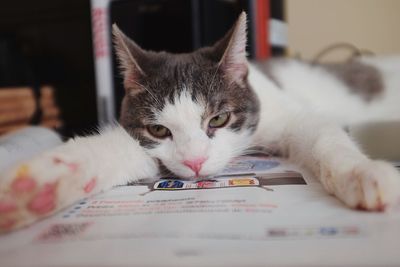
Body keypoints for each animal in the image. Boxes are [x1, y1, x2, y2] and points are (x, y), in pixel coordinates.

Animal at [0, 12, 400, 234]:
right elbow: (118, 151)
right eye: (159, 129)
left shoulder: (291, 113)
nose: (194, 163)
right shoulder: (147, 144)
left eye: (219, 118)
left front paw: (364, 174)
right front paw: (35, 188)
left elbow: (323, 135)